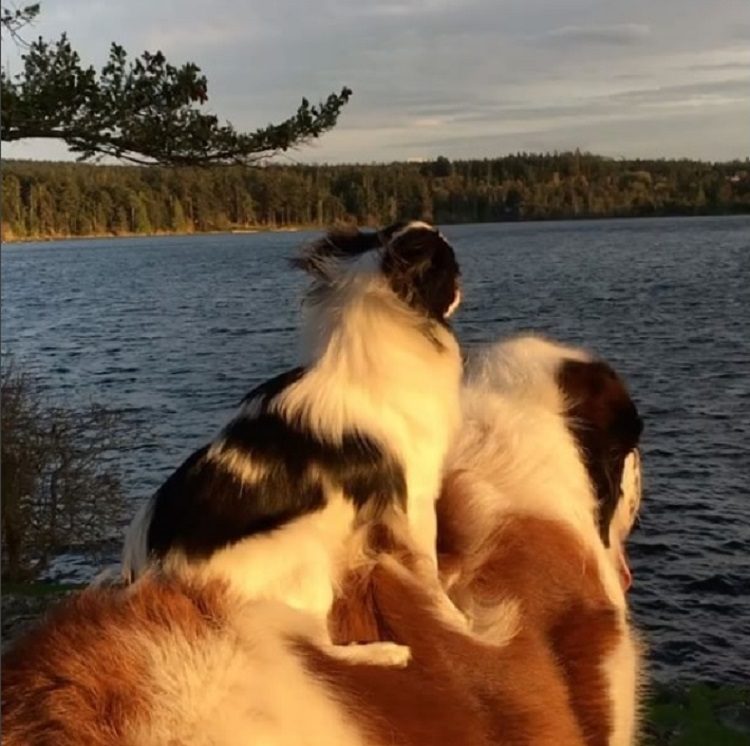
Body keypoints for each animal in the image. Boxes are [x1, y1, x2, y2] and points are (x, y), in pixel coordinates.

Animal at [123, 219, 464, 664]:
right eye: (448, 266)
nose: (459, 273)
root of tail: (161, 575)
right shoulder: (416, 499)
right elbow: (428, 571)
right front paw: (454, 618)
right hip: (304, 547)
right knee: (316, 645)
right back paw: (382, 653)